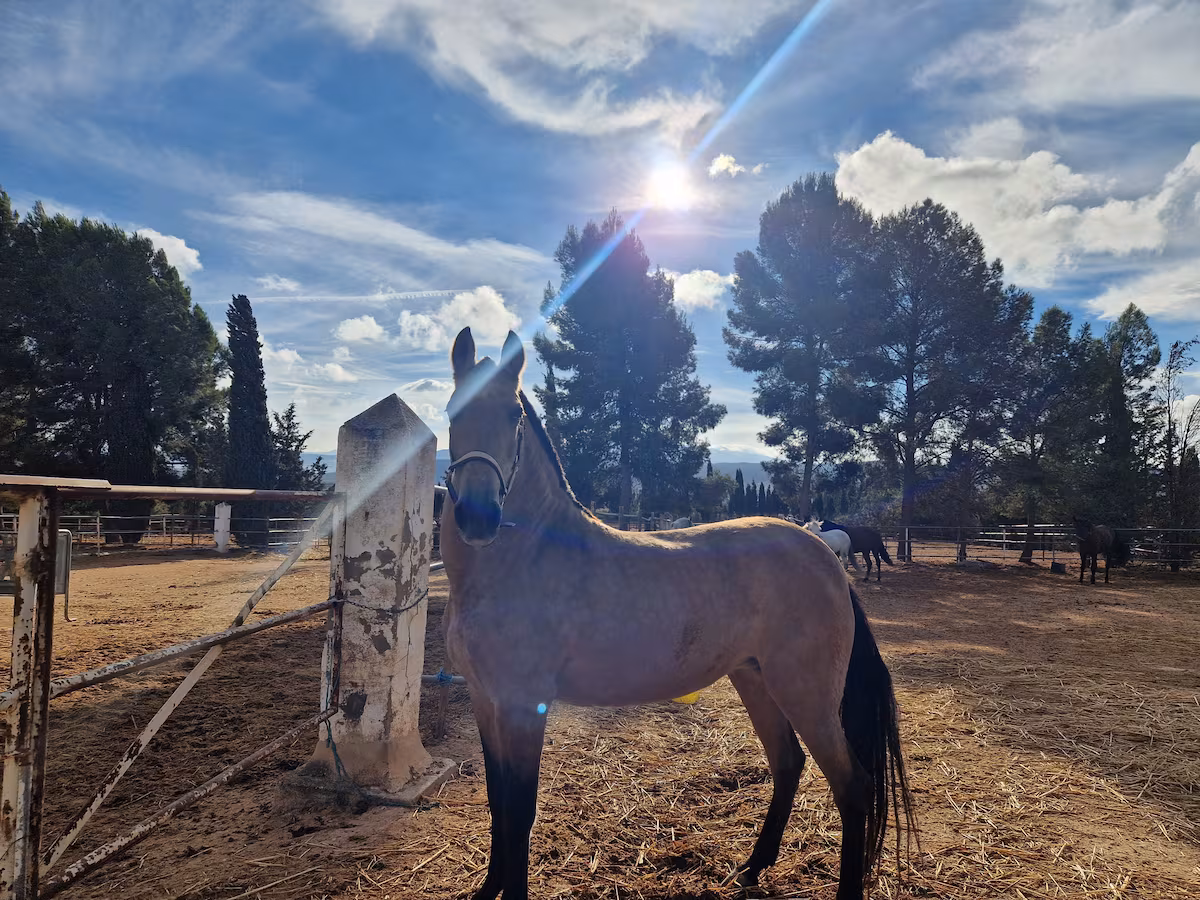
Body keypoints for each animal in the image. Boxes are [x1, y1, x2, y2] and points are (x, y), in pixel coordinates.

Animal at [440, 329, 914, 900]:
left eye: (513, 415)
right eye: (450, 410)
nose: (478, 517)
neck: (525, 559)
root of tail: (825, 556)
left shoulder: (522, 707)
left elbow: (520, 813)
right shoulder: (486, 703)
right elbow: (498, 806)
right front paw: (488, 888)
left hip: (808, 695)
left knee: (852, 786)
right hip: (755, 679)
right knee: (788, 764)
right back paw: (752, 868)